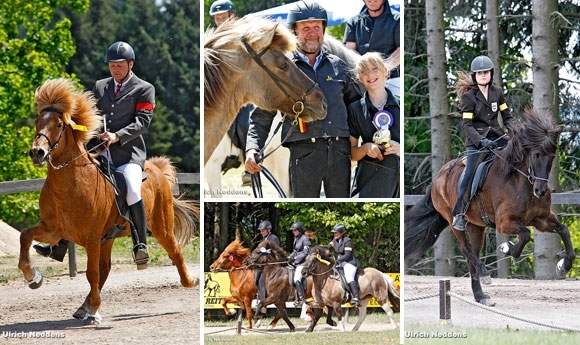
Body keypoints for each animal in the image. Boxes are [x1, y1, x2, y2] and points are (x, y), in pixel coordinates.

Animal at [20, 77, 201, 322]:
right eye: (38, 121)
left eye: (58, 125)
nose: (37, 153)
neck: (69, 184)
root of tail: (156, 167)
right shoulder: (54, 230)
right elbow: (24, 236)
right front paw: (33, 278)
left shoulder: (91, 238)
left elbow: (92, 273)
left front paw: (95, 309)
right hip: (108, 238)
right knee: (105, 269)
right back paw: (84, 306)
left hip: (160, 226)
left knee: (174, 250)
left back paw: (189, 280)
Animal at [406, 107, 576, 304]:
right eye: (536, 155)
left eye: (552, 156)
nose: (540, 191)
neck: (519, 180)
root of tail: (437, 178)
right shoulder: (504, 222)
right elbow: (525, 235)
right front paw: (506, 247)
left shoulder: (541, 219)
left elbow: (563, 230)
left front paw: (563, 266)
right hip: (453, 218)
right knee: (465, 249)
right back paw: (485, 274)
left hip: (475, 226)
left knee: (472, 255)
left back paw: (481, 296)